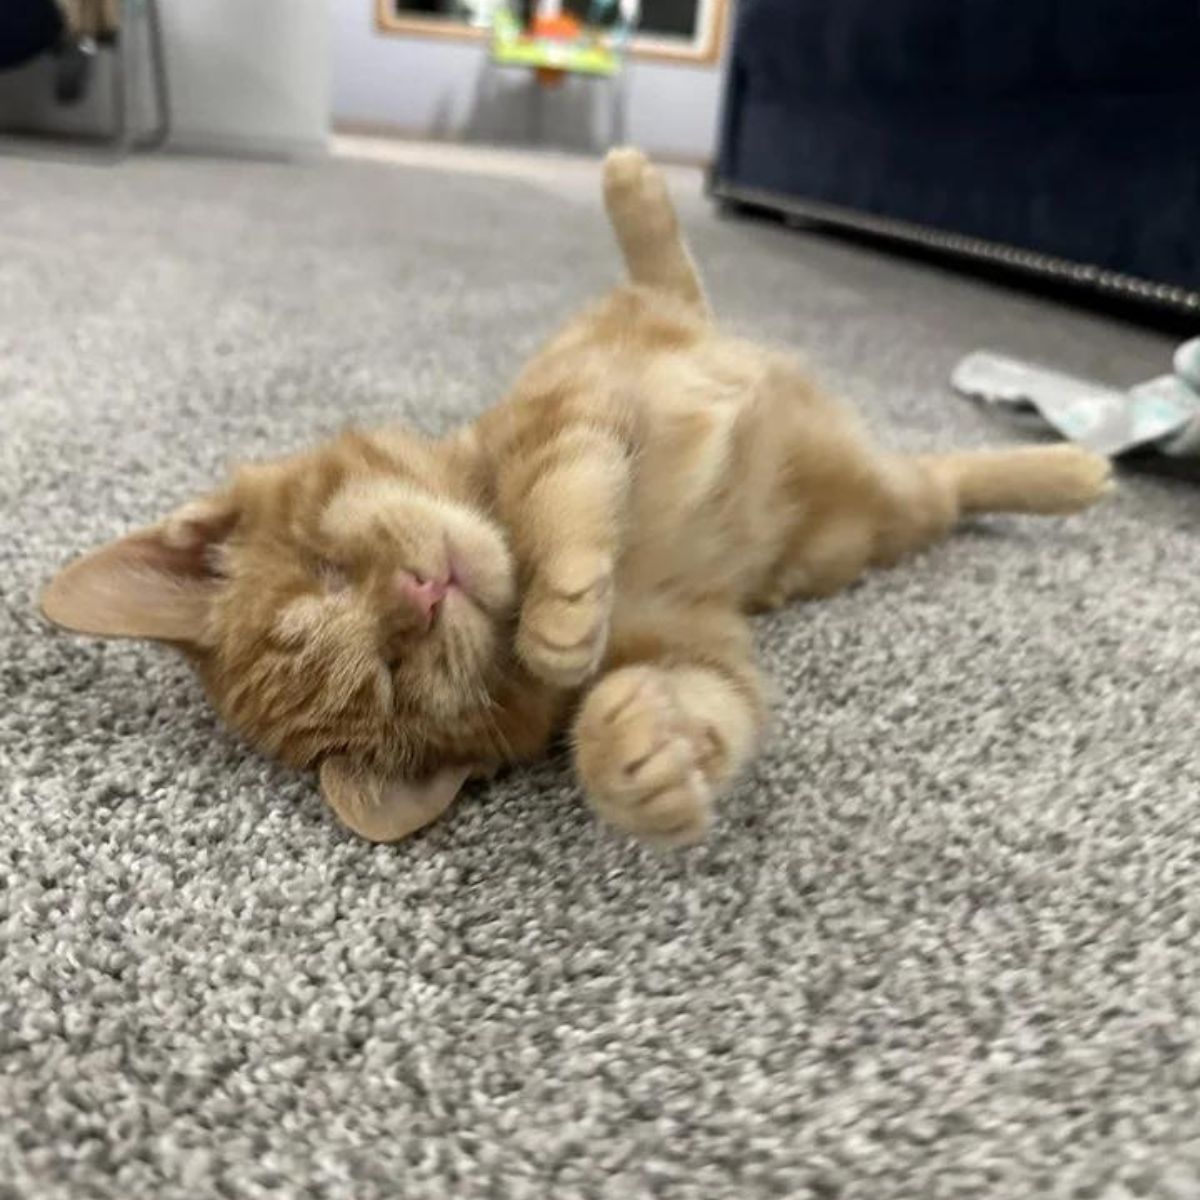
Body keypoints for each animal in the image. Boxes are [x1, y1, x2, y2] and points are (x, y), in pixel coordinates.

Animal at [44, 147, 1113, 844]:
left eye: (328, 572)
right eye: (392, 678)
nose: (421, 594)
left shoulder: (567, 409)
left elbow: (555, 492)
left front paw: (558, 604)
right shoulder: (694, 643)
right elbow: (702, 704)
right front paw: (639, 763)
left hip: (687, 347)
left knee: (670, 277)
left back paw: (631, 178)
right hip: (875, 523)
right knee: (947, 479)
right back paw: (1072, 470)